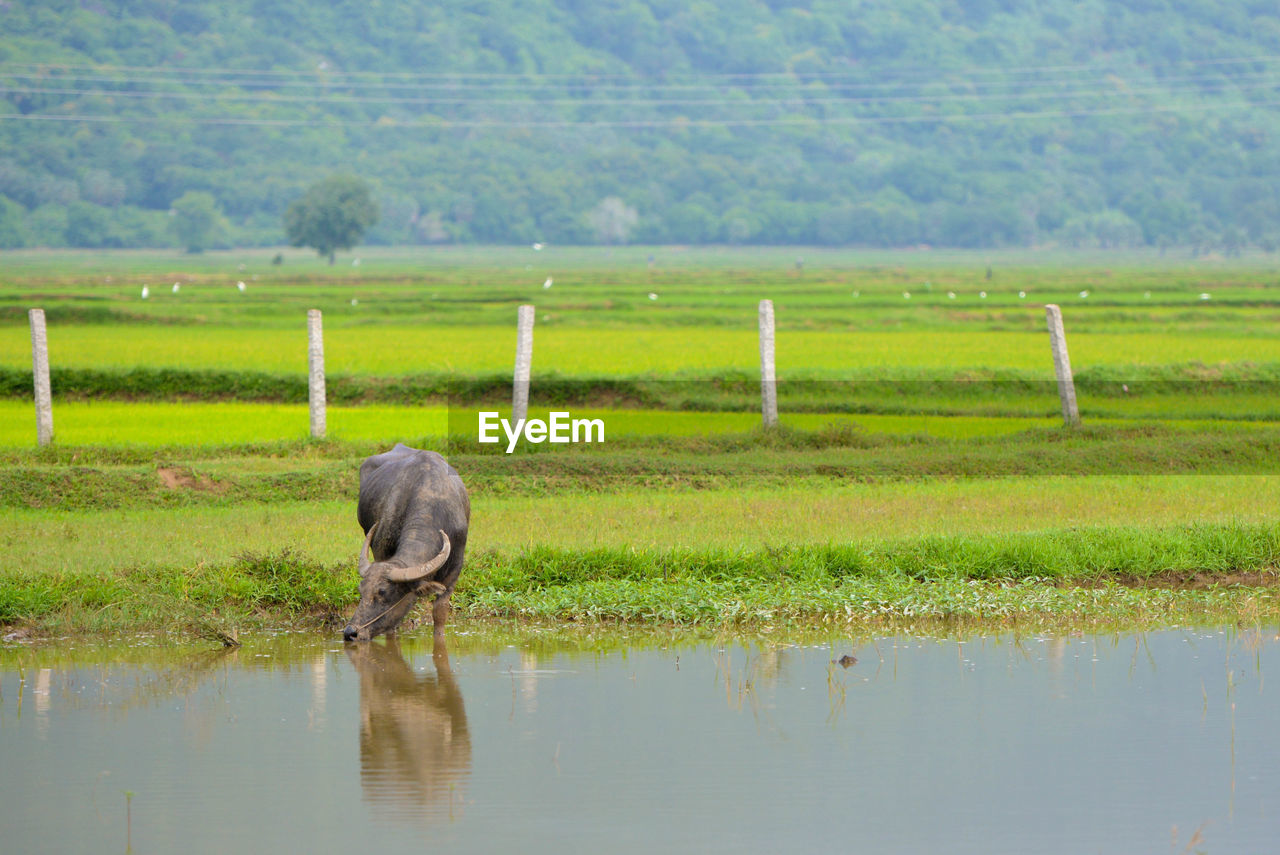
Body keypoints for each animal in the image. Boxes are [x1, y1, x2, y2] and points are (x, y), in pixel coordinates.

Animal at [345, 447, 471, 639]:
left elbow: (440, 612)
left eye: (383, 592)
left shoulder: (455, 569)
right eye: (361, 590)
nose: (351, 632)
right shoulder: (381, 550)